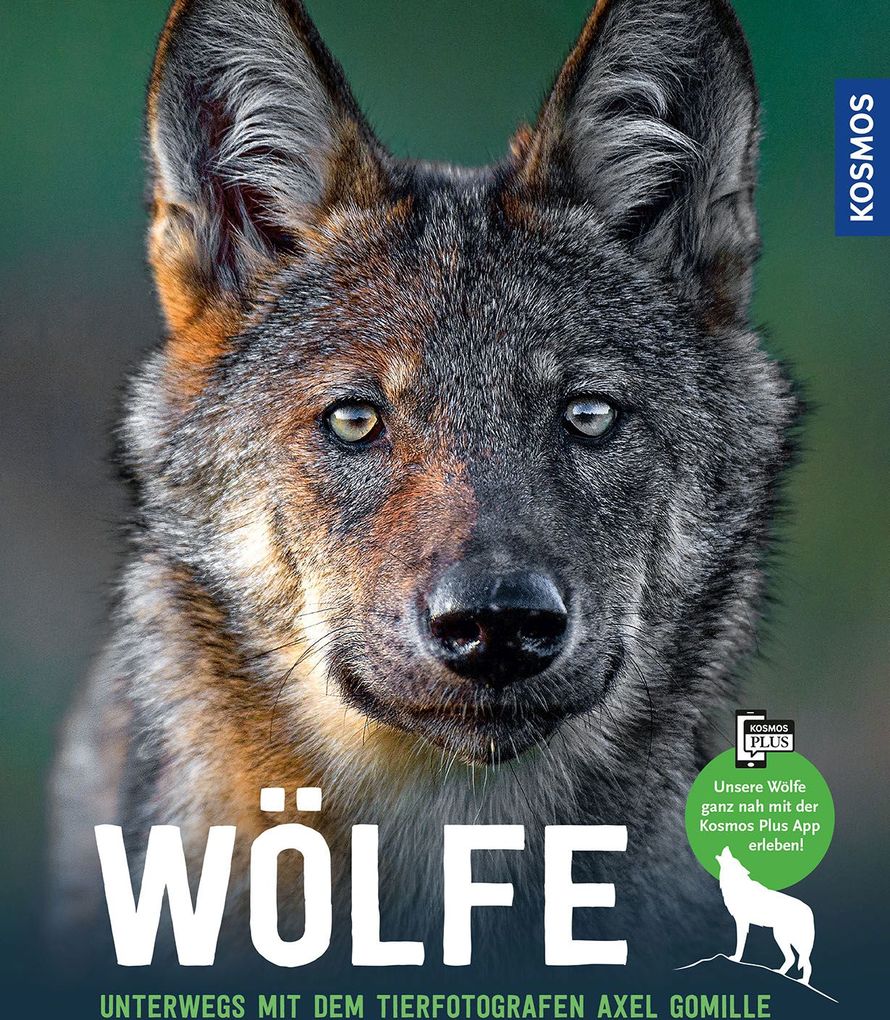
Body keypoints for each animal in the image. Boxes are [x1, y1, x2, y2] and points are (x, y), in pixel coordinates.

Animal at [716, 847, 815, 984]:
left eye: (733, 859)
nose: (727, 847)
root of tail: (808, 910)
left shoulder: (742, 922)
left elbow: (740, 944)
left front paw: (736, 959)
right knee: (802, 961)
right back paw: (795, 978)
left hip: (783, 938)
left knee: (797, 960)